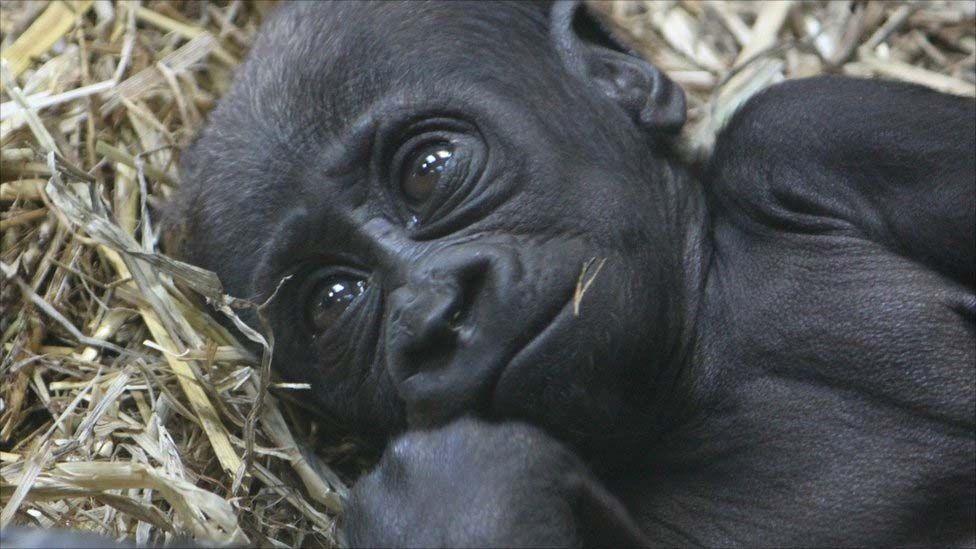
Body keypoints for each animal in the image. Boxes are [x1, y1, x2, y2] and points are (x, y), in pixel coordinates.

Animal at [170, 1, 976, 544]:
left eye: (429, 170)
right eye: (332, 300)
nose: (437, 314)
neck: (701, 363)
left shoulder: (817, 130)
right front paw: (462, 489)